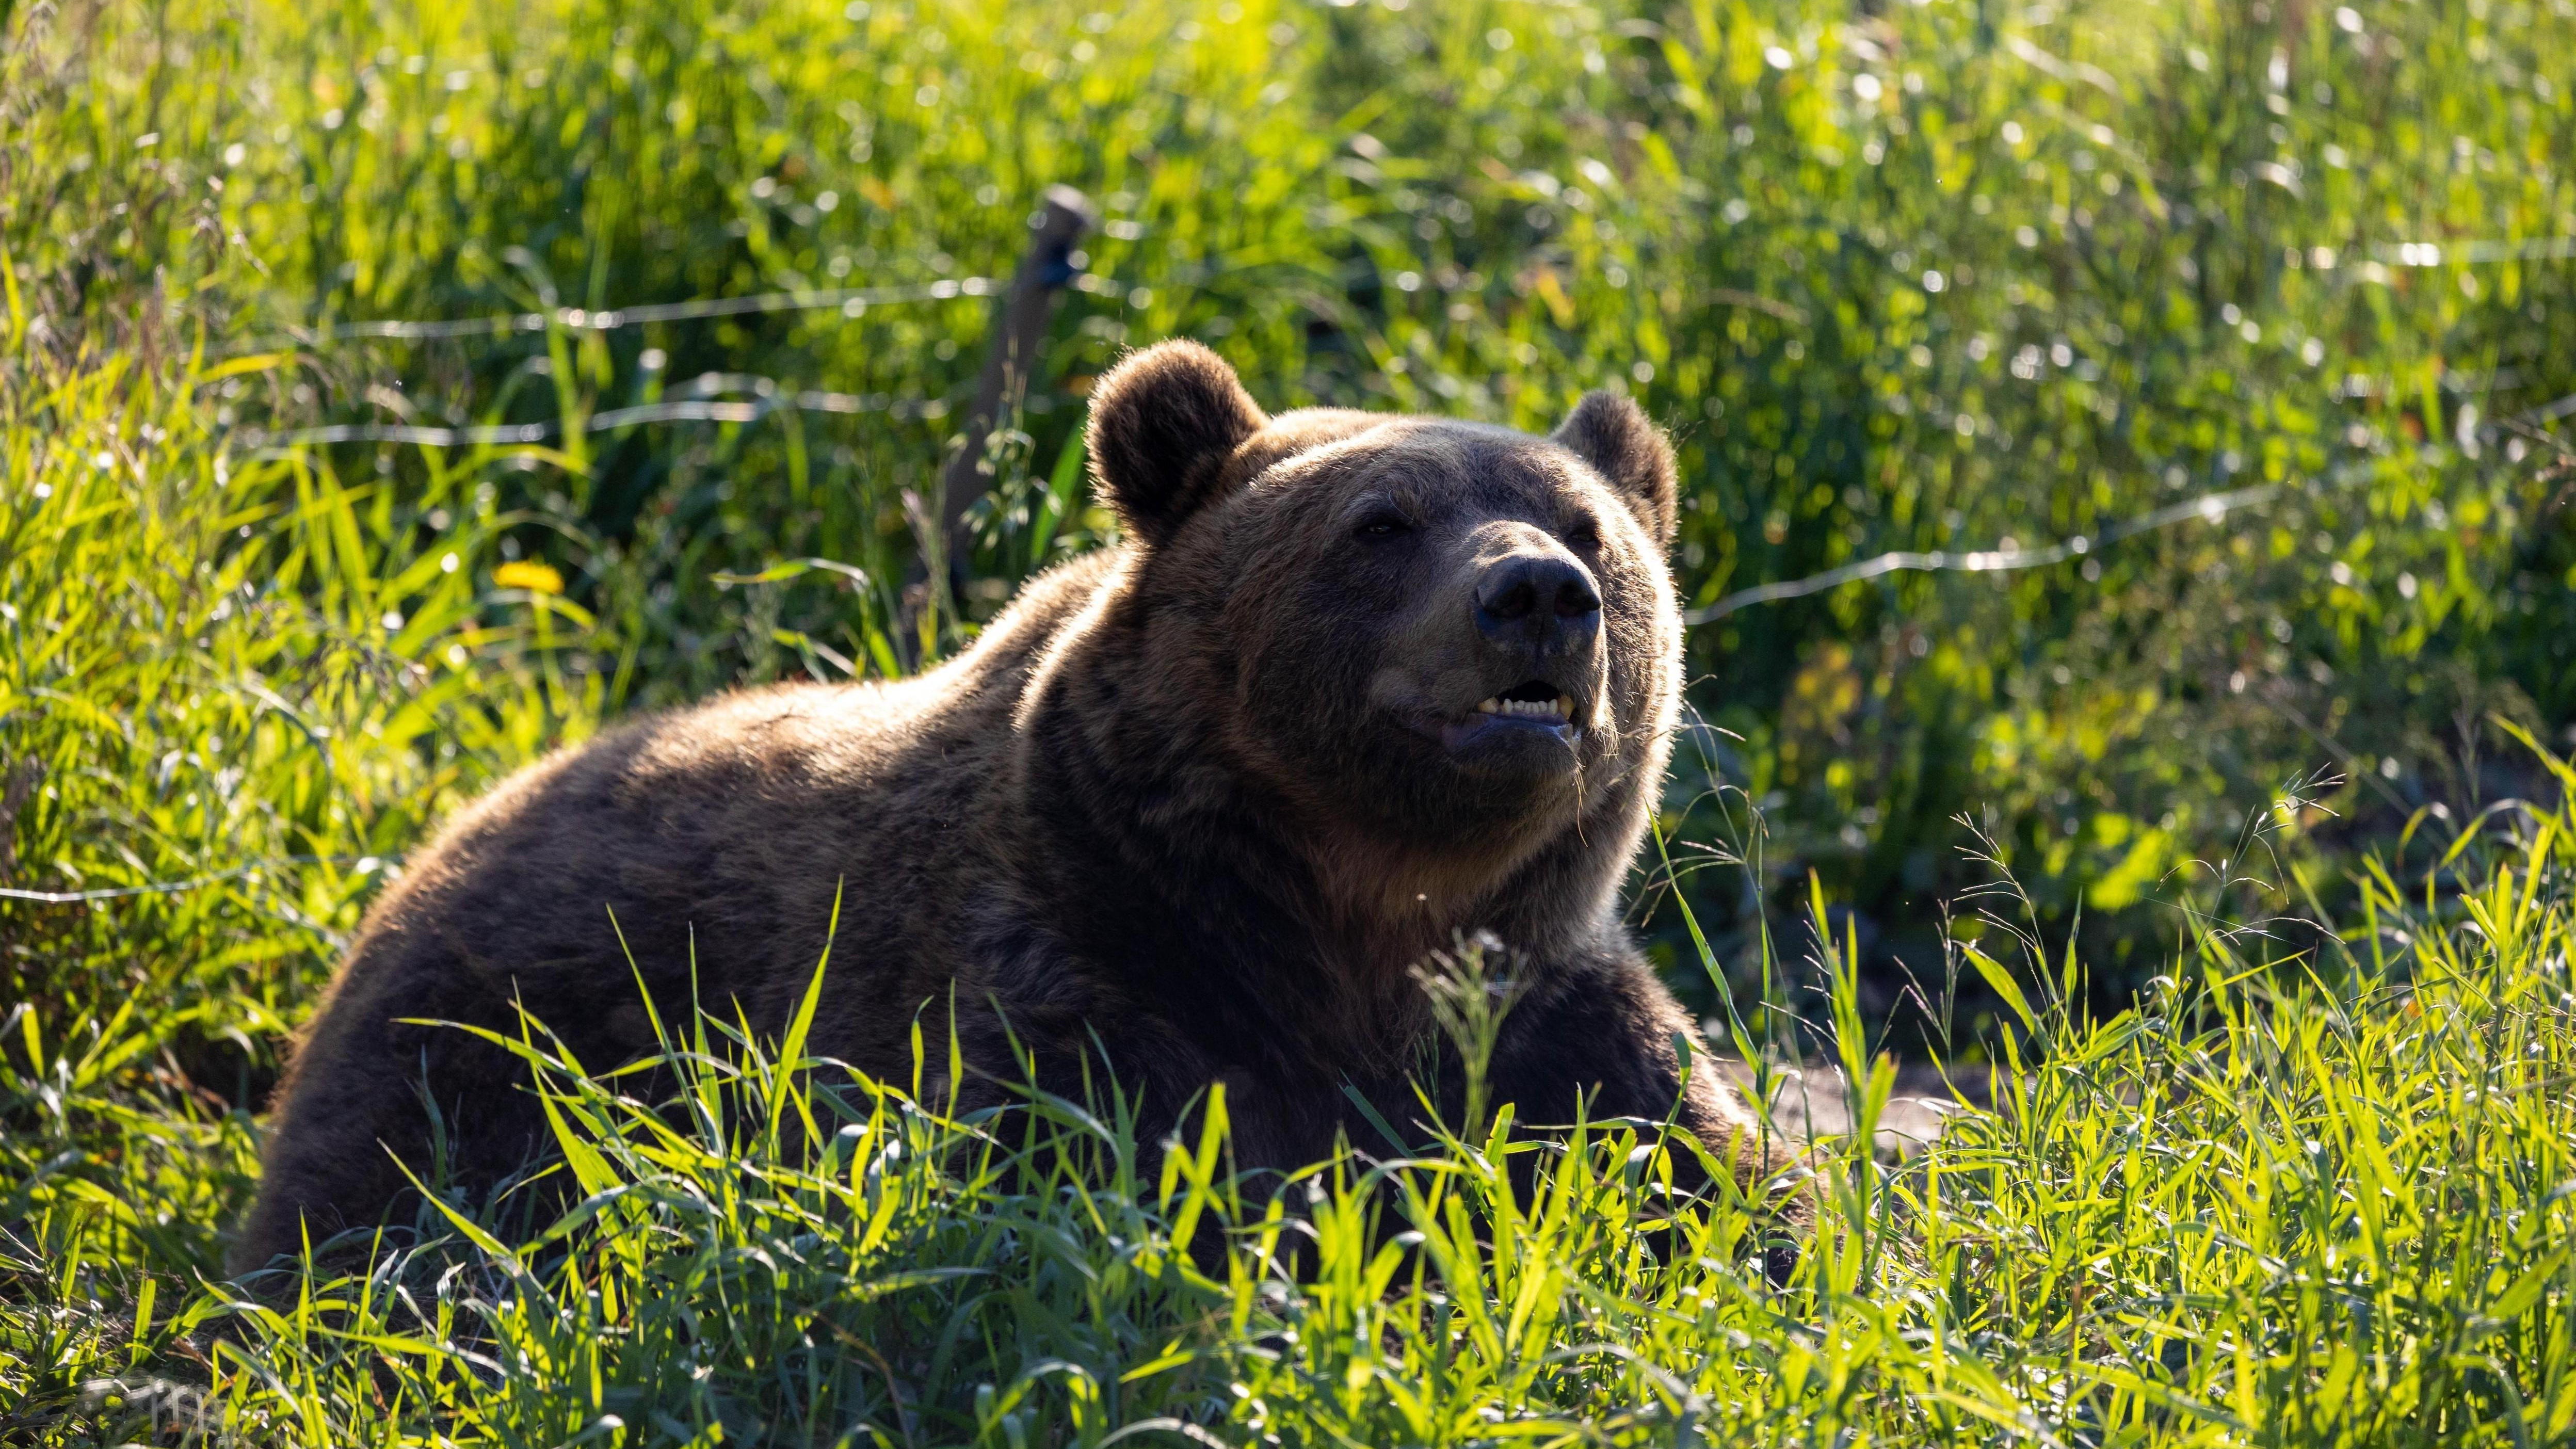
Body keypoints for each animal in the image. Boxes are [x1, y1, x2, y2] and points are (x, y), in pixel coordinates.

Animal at [237, 343, 1813, 1268]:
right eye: (1381, 524)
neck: (1348, 923)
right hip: (489, 1037)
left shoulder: (1549, 1016)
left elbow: (1731, 1201)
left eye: (1589, 529)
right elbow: (1092, 1194)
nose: (1536, 594)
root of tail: (434, 846)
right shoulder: (1079, 979)